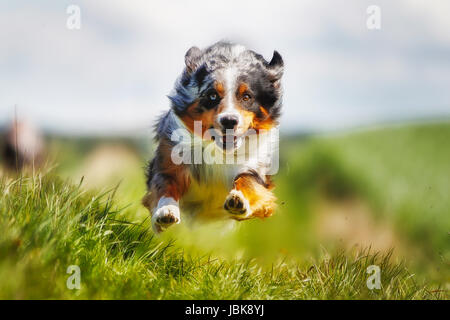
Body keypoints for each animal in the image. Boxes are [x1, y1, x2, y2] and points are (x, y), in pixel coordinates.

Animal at [143, 42, 284, 232]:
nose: (229, 121)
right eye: (212, 95)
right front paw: (166, 211)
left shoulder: (255, 168)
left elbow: (248, 181)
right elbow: (164, 186)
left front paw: (239, 200)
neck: (218, 151)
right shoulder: (169, 161)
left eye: (247, 96)